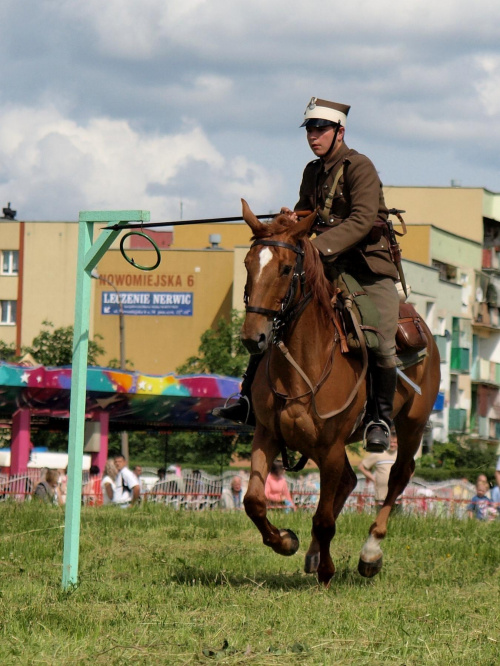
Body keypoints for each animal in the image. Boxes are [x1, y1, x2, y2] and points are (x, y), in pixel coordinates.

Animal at [240, 200, 440, 584]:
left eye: (286, 269)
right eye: (247, 264)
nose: (253, 337)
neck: (304, 363)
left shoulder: (331, 446)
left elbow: (324, 519)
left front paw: (328, 571)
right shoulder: (268, 434)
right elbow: (254, 502)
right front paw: (286, 541)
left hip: (411, 426)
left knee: (397, 476)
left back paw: (370, 551)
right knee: (349, 481)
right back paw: (314, 554)